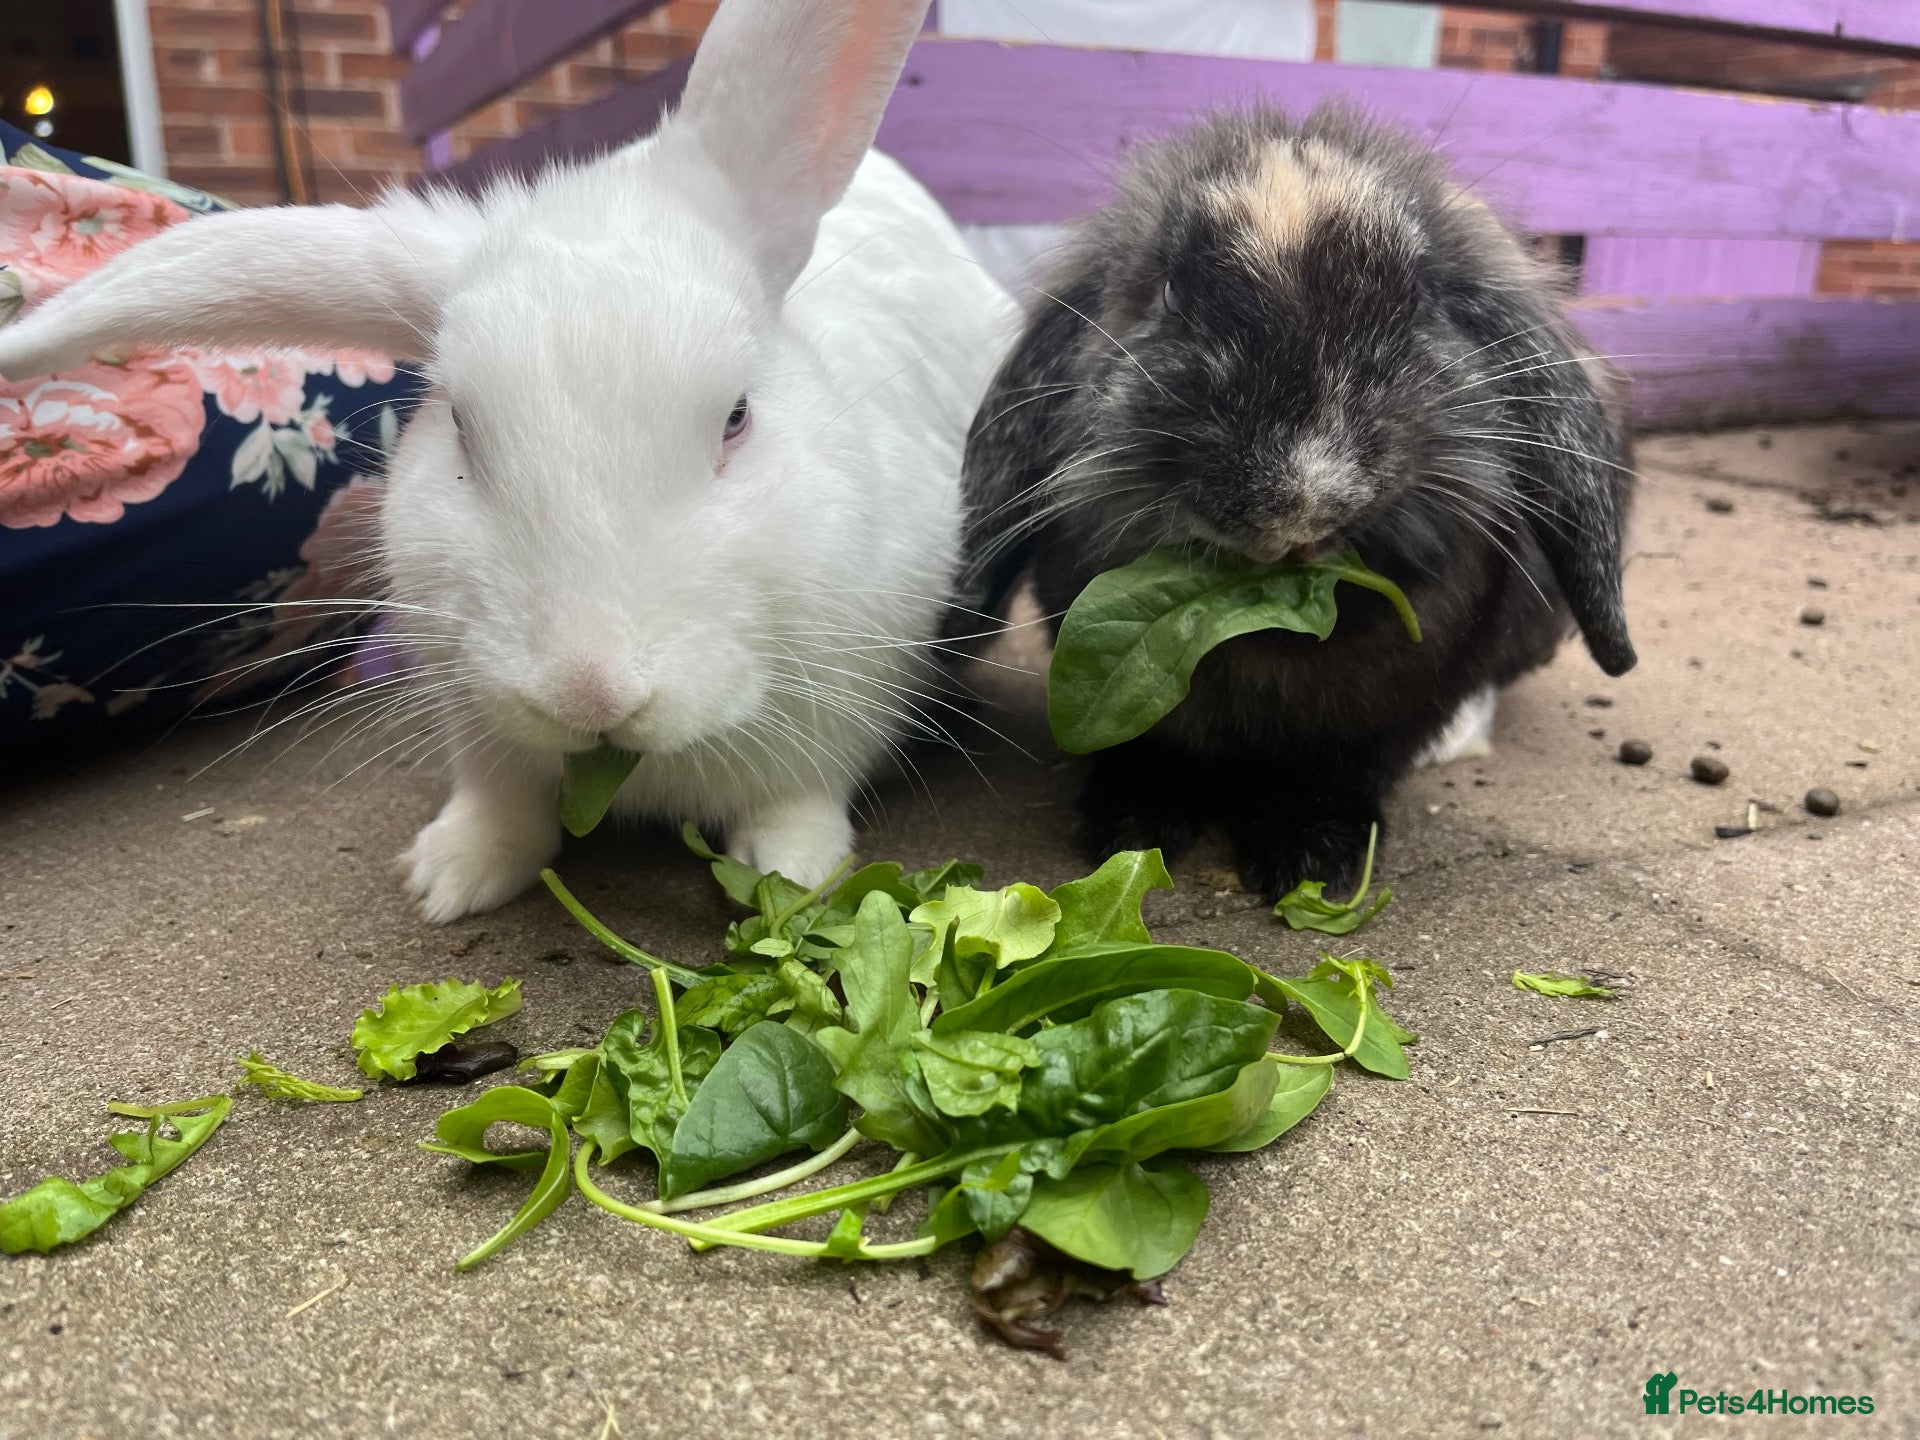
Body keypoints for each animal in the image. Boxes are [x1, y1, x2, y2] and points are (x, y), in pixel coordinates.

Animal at [0, 0, 1015, 922]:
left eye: (736, 418)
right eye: (461, 426)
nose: (589, 689)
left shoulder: (845, 697)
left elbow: (796, 801)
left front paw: (790, 874)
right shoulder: (474, 714)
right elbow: (503, 805)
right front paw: (449, 879)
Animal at [951, 104, 1635, 900]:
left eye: (1421, 301)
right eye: (1170, 294)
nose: (1301, 507)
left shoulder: (1386, 715)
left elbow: (1337, 773)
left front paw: (1316, 860)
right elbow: (1147, 754)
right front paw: (1129, 828)